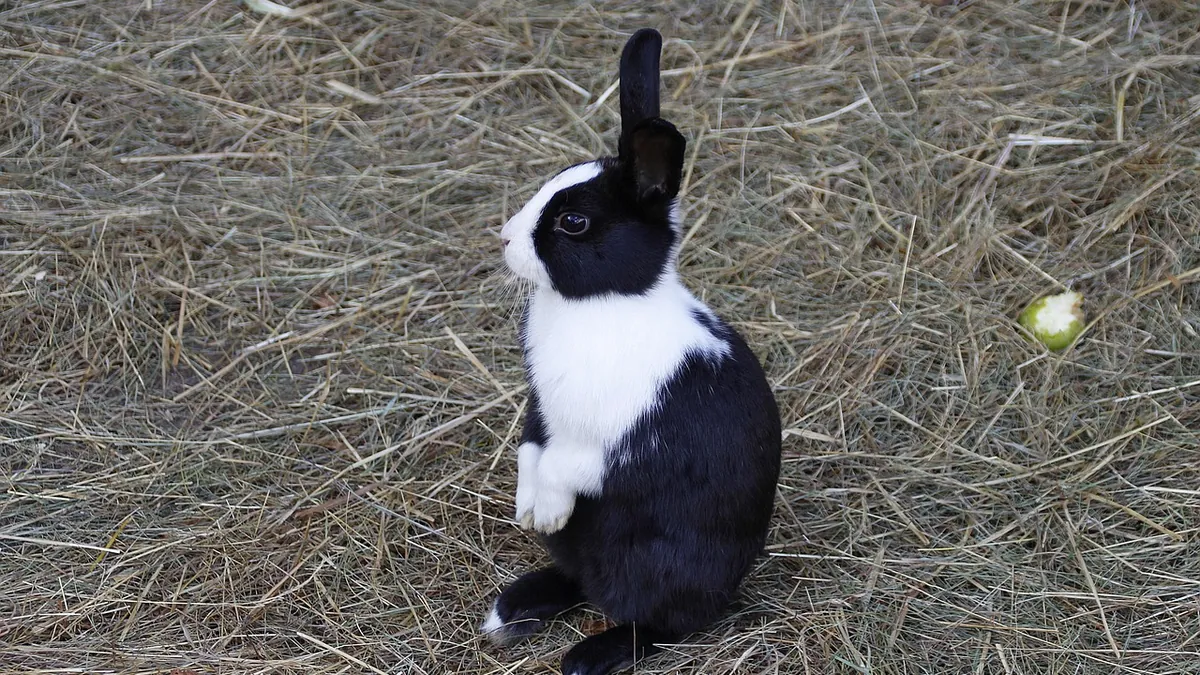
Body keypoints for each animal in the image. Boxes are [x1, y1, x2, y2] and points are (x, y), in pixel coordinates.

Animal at [482, 28, 782, 675]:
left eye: (573, 222)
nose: (505, 239)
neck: (606, 302)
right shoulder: (541, 411)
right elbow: (529, 450)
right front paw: (528, 509)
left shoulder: (621, 443)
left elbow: (567, 466)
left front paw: (544, 509)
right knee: (582, 582)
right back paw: (515, 607)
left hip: (663, 571)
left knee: (662, 623)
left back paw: (587, 655)